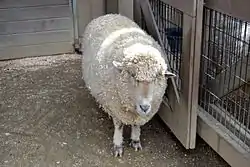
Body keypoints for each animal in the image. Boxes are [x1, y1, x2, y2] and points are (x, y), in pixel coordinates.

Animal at [81, 13, 175, 157]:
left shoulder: (137, 115)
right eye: (132, 75)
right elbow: (119, 126)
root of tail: (108, 14)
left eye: (156, 77)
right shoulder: (115, 106)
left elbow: (136, 125)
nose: (145, 107)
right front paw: (118, 145)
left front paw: (135, 140)